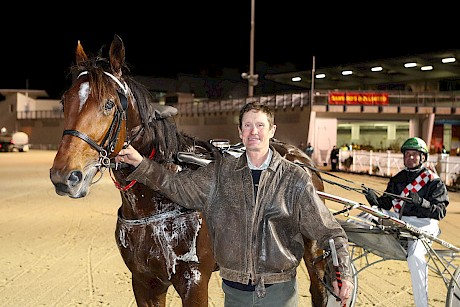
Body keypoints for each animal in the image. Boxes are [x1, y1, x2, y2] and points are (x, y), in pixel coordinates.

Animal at [49, 34, 330, 307]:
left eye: (109, 104)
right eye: (65, 101)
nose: (65, 176)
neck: (157, 201)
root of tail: (300, 156)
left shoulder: (193, 279)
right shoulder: (144, 281)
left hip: (314, 251)